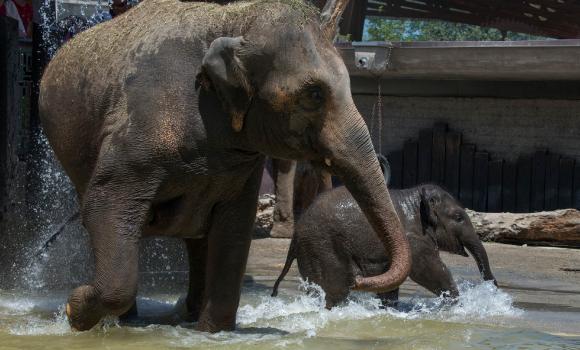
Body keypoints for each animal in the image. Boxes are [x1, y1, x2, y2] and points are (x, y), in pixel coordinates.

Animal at [38, 0, 410, 334]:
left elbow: (234, 227)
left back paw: (182, 313)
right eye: (314, 94)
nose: (359, 280)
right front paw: (74, 308)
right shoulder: (136, 130)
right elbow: (105, 205)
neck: (235, 19)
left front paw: (212, 333)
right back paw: (127, 321)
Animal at [274, 179, 496, 308]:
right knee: (336, 291)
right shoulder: (413, 238)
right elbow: (428, 269)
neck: (415, 198)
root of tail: (295, 235)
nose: (493, 289)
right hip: (322, 247)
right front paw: (456, 305)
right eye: (458, 218)